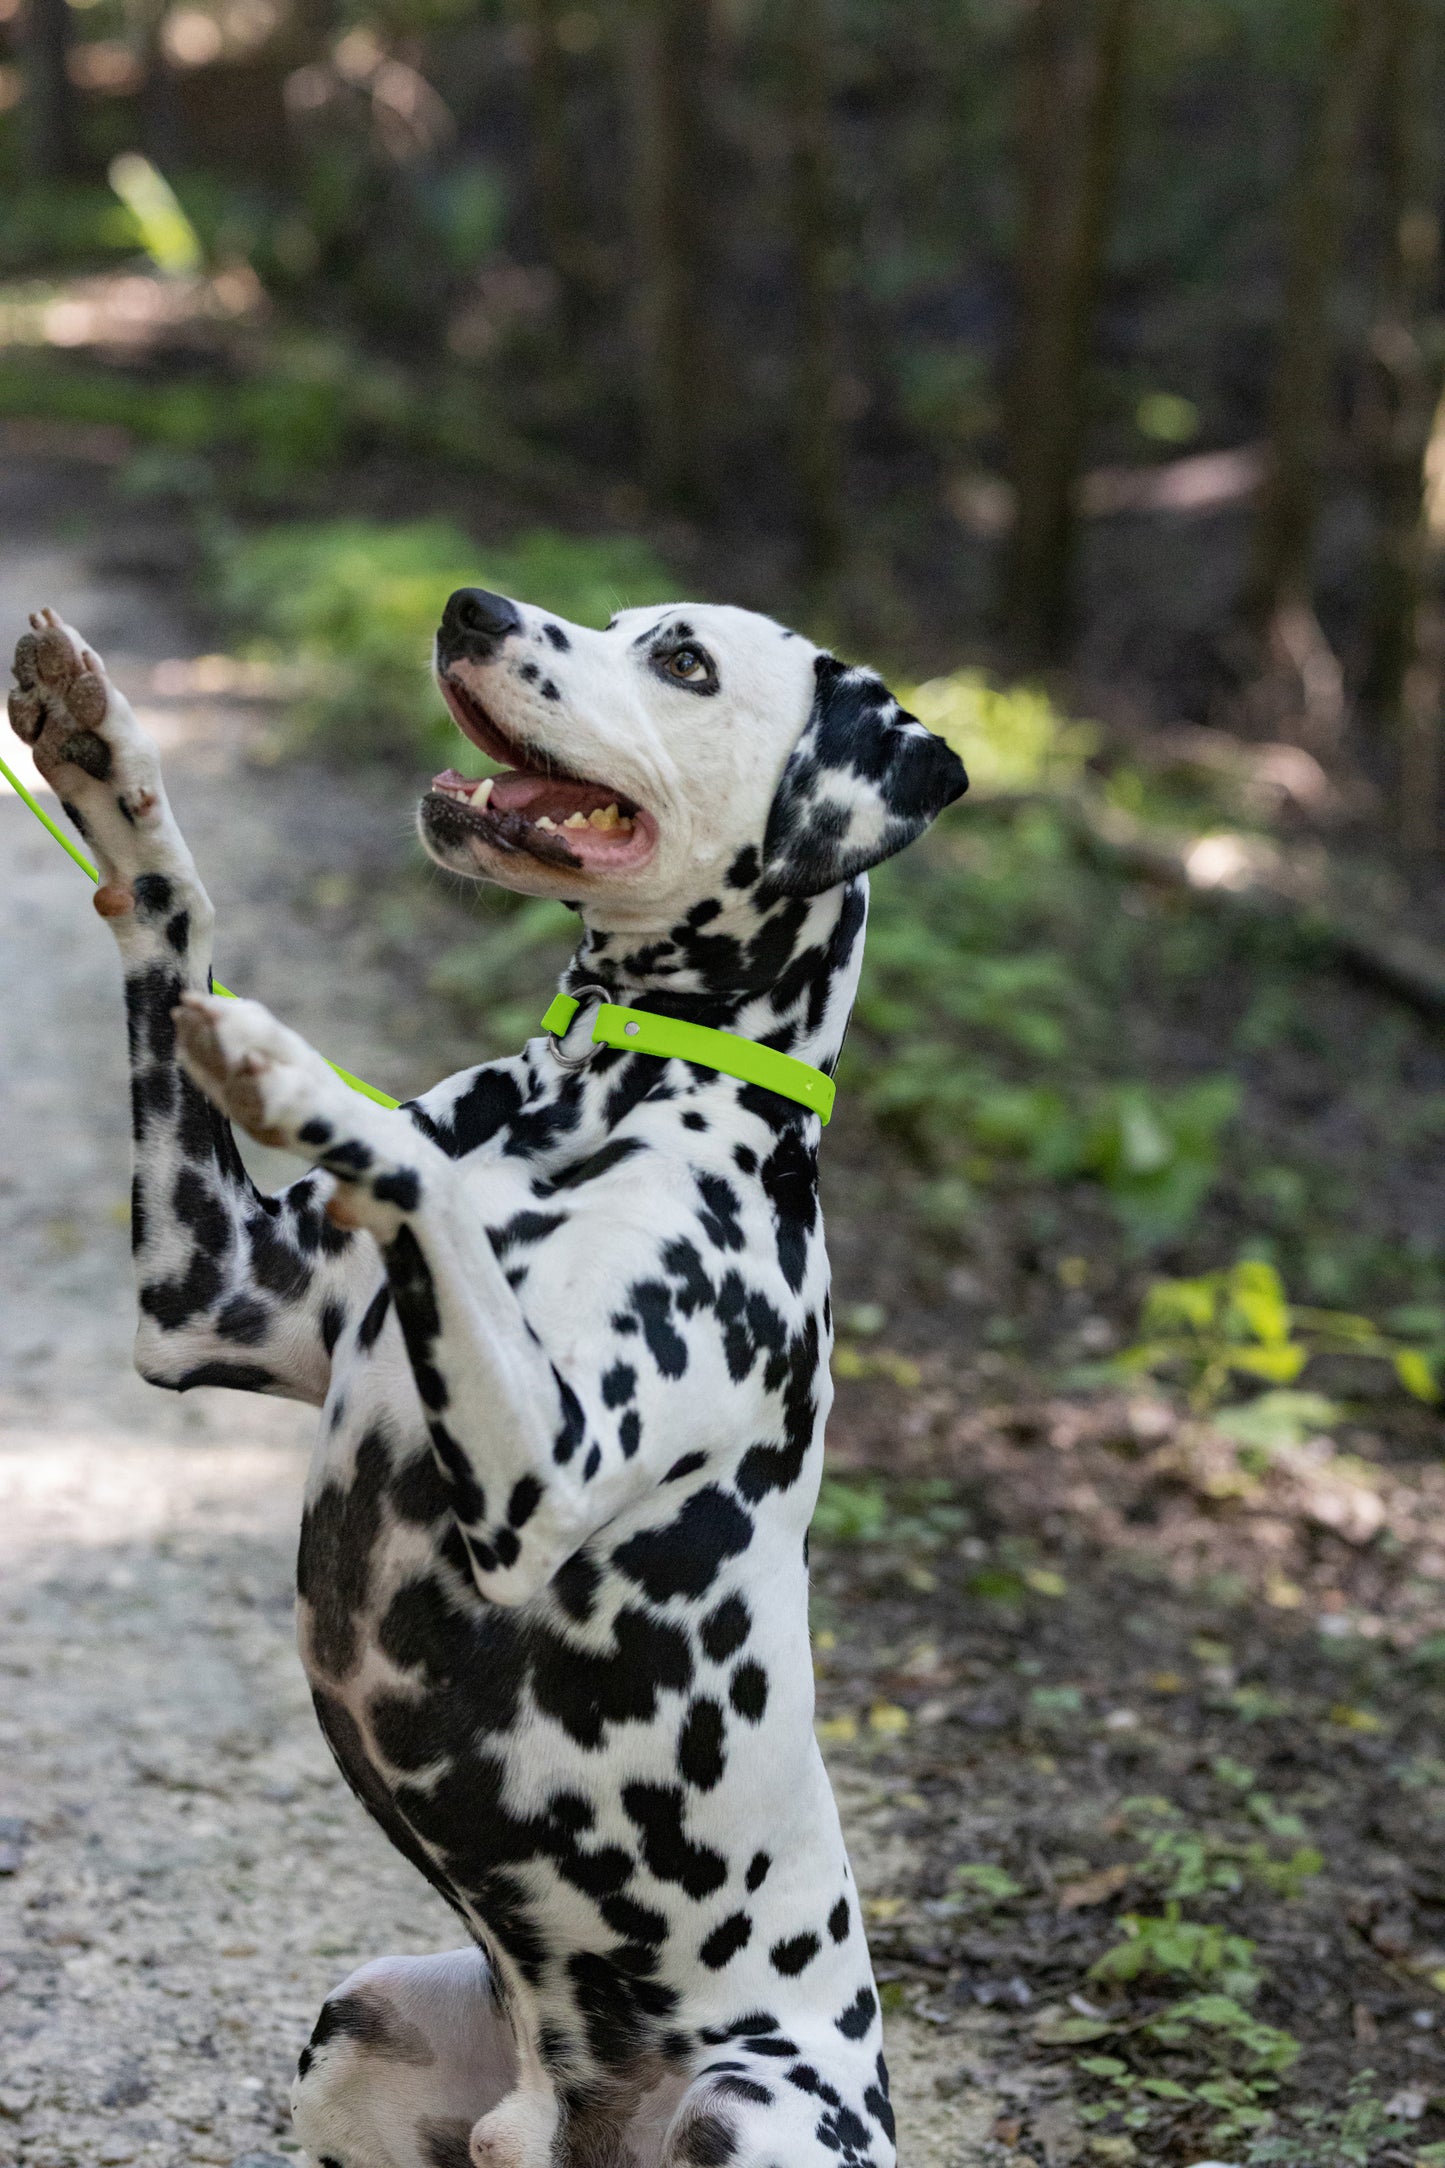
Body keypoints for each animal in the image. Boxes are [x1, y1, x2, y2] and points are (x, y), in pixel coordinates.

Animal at [11, 594, 966, 2168]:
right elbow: (169, 913)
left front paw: (297, 1076)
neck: (608, 1091)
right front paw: (103, 754)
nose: (473, 606)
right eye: (620, 617)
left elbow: (419, 1180)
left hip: (750, 2106)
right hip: (356, 2024)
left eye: (682, 660)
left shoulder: (542, 1475)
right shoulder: (203, 1293)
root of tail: (559, 2117)